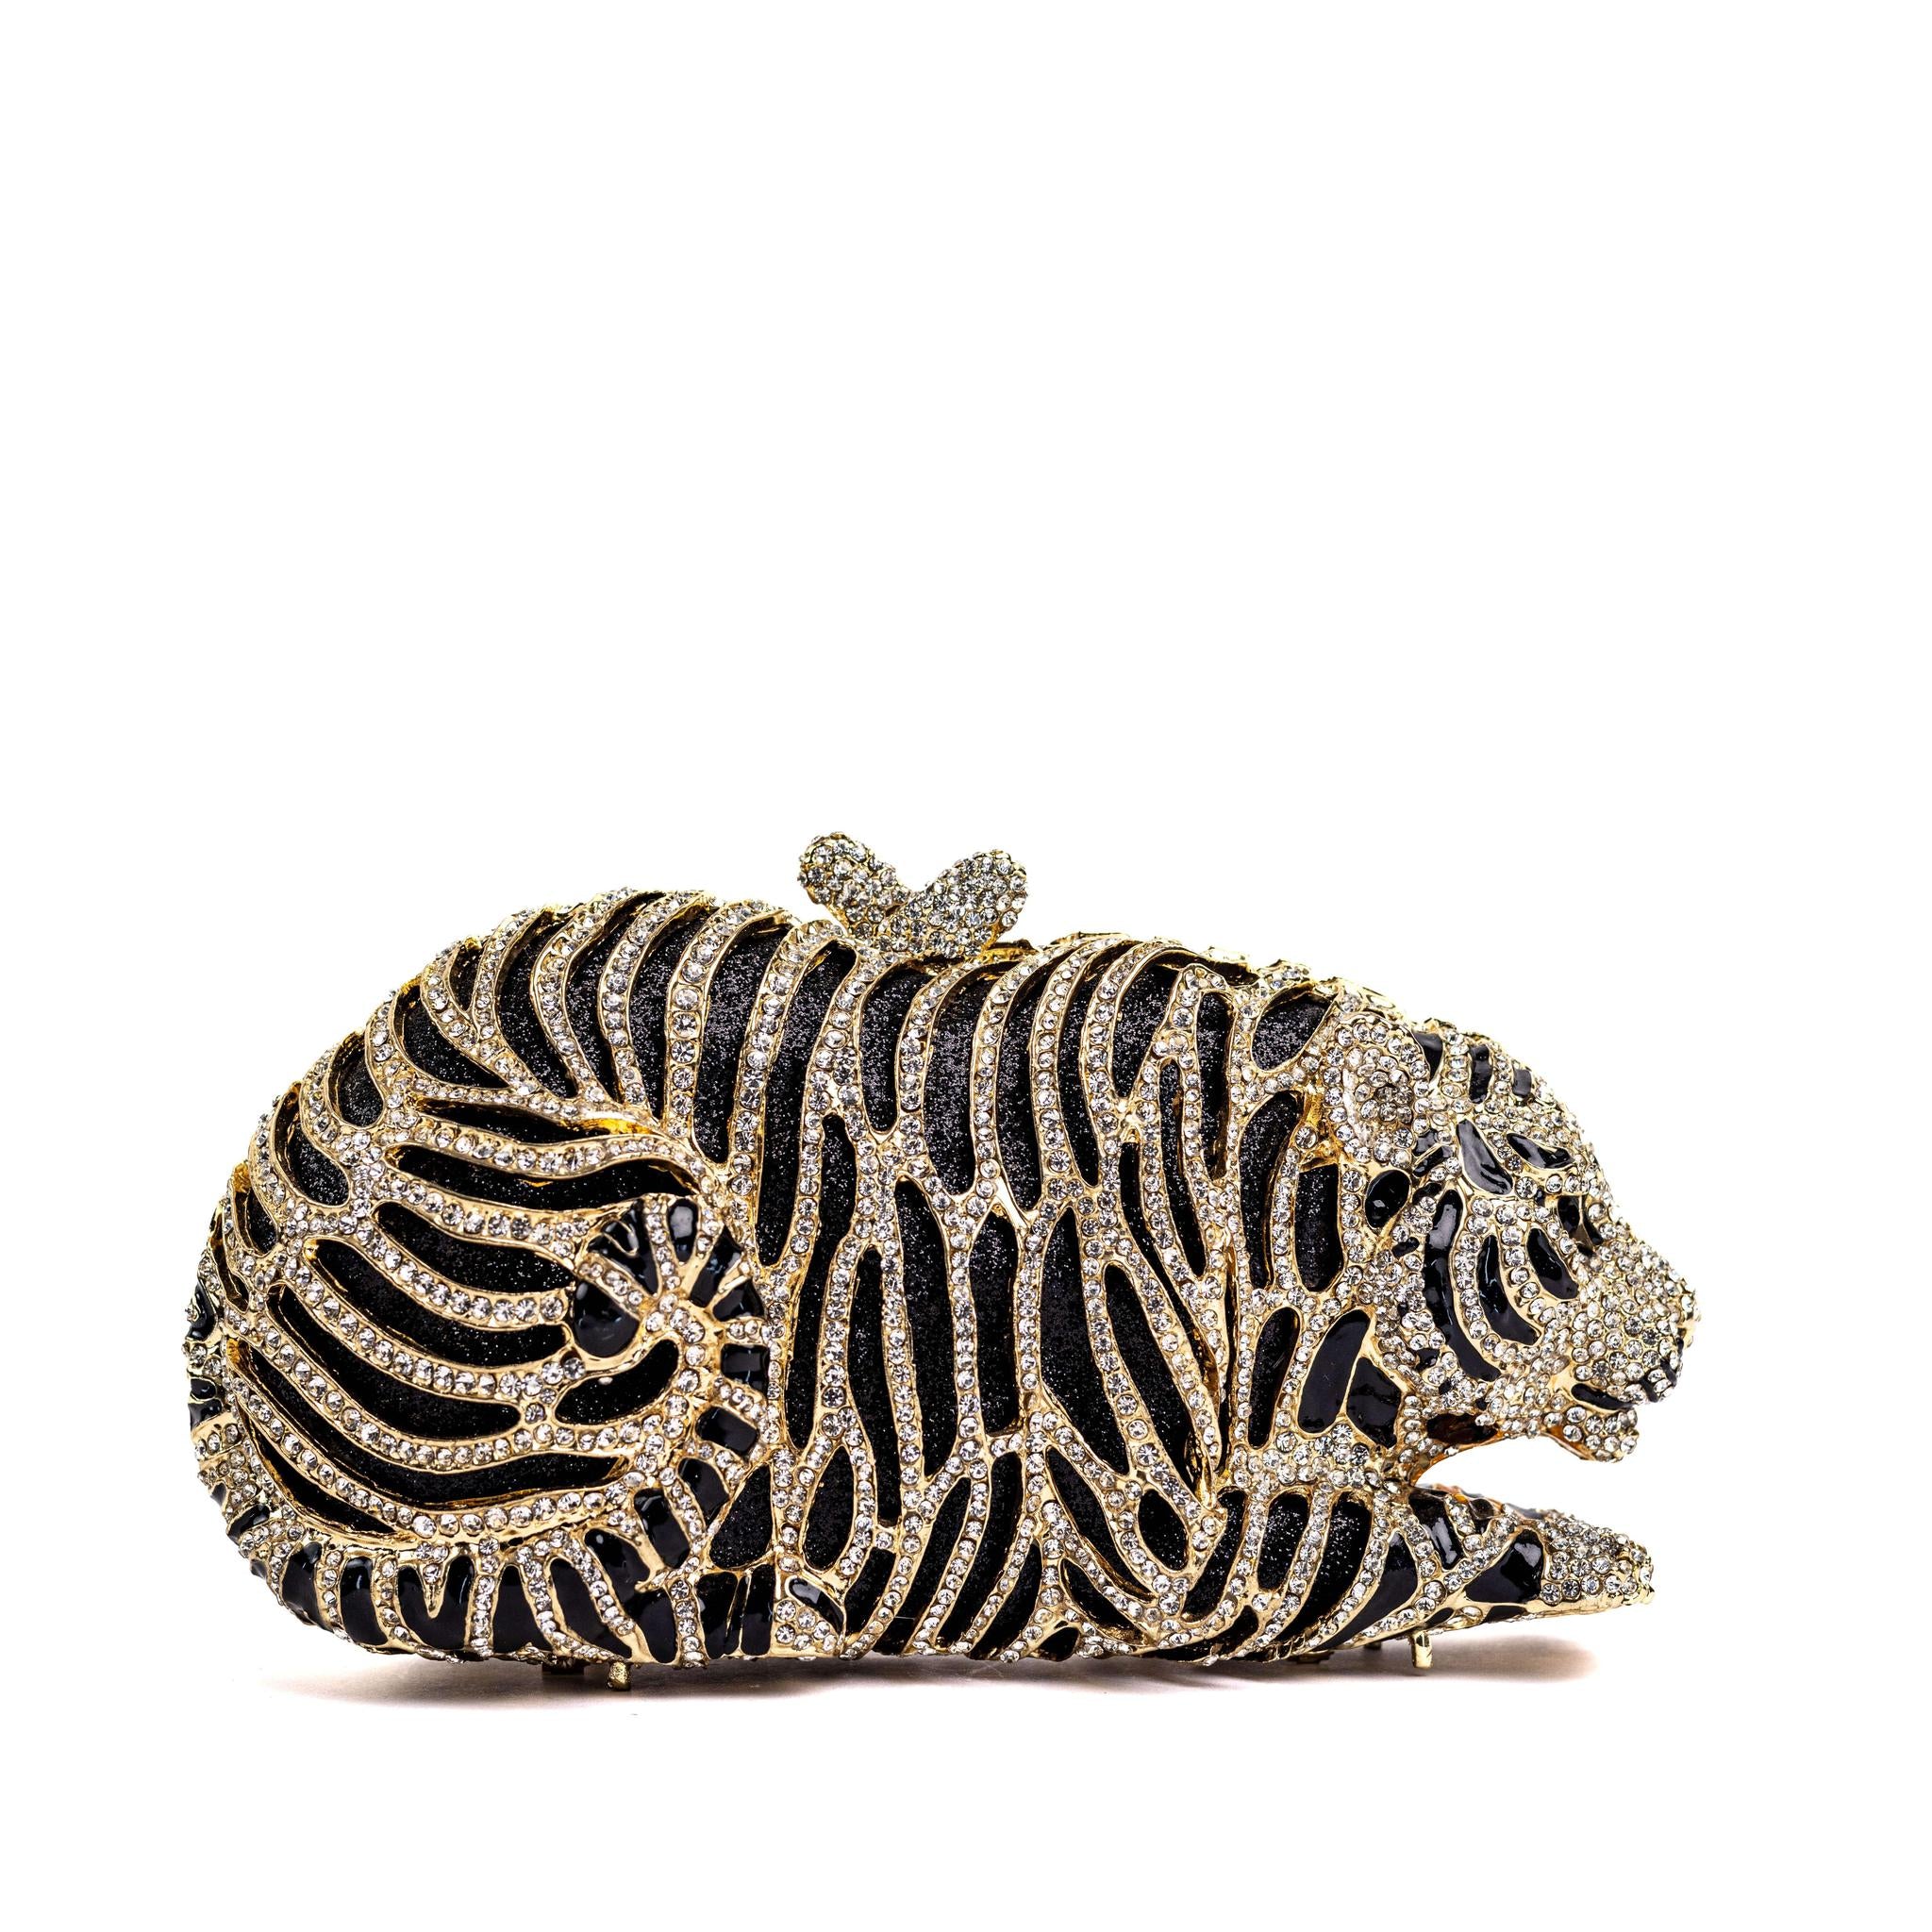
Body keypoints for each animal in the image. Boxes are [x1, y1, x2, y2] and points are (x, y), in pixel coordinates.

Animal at [184, 833, 1695, 1677]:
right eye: (1566, 1208)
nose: (1684, 1320)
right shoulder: (1178, 1554)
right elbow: (1447, 1540)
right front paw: (1592, 1560)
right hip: (659, 1259)